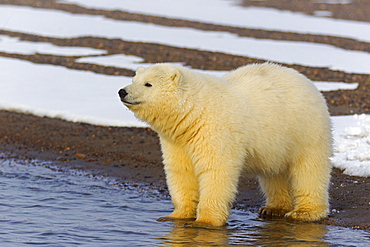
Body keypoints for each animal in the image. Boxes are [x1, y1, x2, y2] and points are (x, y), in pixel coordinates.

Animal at [118, 62, 332, 227]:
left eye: (148, 84)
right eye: (134, 79)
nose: (122, 91)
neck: (194, 111)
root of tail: (307, 82)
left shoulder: (214, 129)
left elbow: (215, 170)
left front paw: (205, 222)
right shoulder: (178, 140)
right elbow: (181, 171)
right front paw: (175, 216)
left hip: (304, 131)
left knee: (309, 170)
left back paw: (304, 212)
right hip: (277, 142)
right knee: (274, 173)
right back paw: (273, 208)